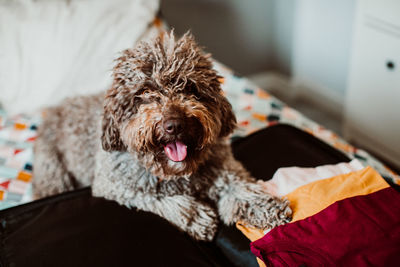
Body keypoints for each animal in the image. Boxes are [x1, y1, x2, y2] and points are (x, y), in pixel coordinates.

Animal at [33, 30, 290, 241]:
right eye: (145, 92)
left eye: (190, 88)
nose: (174, 125)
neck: (178, 173)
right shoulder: (115, 185)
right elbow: (155, 199)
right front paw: (196, 216)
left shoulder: (225, 170)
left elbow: (242, 190)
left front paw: (266, 207)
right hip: (53, 171)